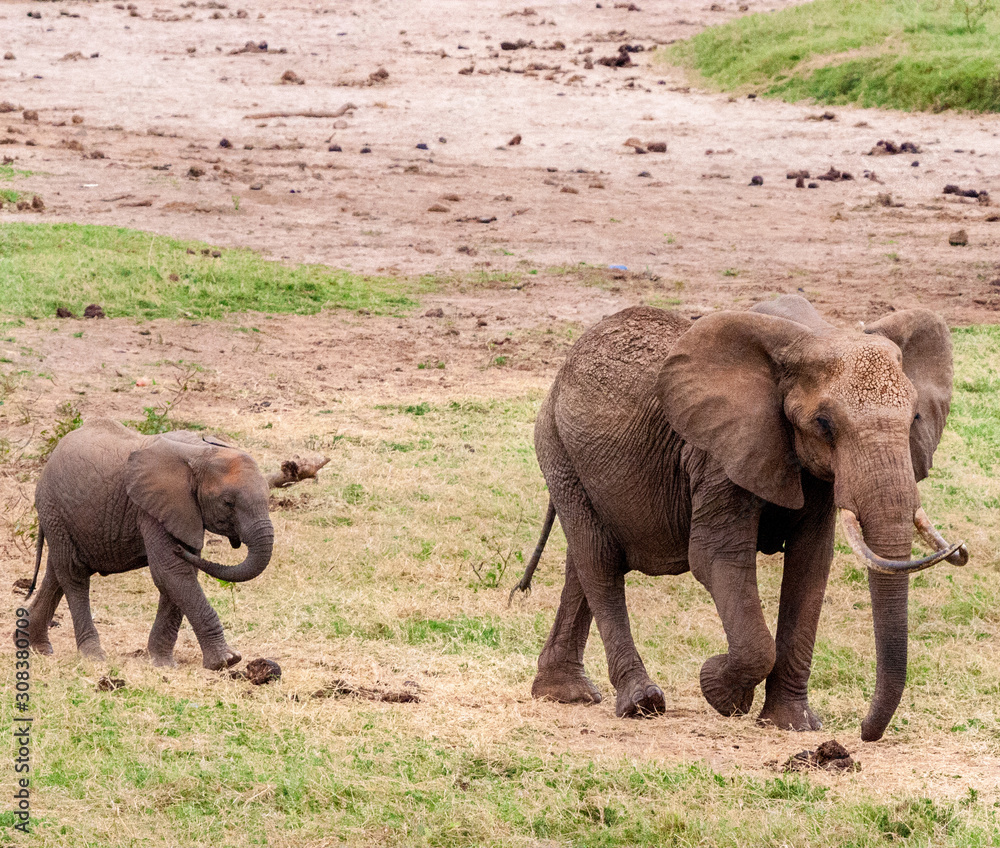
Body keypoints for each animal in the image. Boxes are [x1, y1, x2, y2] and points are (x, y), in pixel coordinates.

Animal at [24, 418, 274, 668]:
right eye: (228, 503)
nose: (180, 549)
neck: (201, 452)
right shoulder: (152, 508)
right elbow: (171, 571)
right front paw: (226, 660)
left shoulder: (184, 510)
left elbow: (180, 575)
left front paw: (162, 663)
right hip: (53, 507)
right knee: (73, 574)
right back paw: (93, 655)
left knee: (56, 572)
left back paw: (37, 648)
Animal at [512, 294, 964, 740]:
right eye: (823, 424)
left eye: (915, 418)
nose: (863, 732)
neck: (813, 335)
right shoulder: (717, 456)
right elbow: (716, 558)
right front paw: (720, 690)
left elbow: (810, 566)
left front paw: (793, 724)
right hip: (558, 448)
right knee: (599, 561)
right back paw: (642, 703)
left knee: (583, 564)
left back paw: (564, 694)